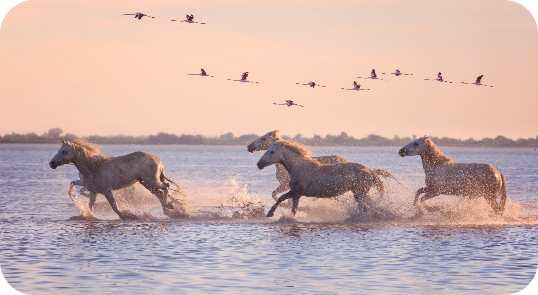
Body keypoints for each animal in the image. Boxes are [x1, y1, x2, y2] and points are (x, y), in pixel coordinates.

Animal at [50, 140, 180, 220]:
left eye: (64, 151)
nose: (51, 163)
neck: (93, 167)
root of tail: (157, 159)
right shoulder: (93, 191)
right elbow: (88, 205)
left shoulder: (107, 191)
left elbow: (115, 207)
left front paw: (128, 216)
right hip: (147, 183)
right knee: (160, 193)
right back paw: (170, 208)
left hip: (151, 181)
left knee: (166, 186)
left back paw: (169, 206)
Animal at [255, 141, 386, 217]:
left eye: (271, 151)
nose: (259, 164)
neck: (298, 167)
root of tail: (369, 170)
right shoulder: (297, 194)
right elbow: (293, 209)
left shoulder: (296, 191)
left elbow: (281, 198)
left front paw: (270, 213)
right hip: (359, 194)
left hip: (360, 193)